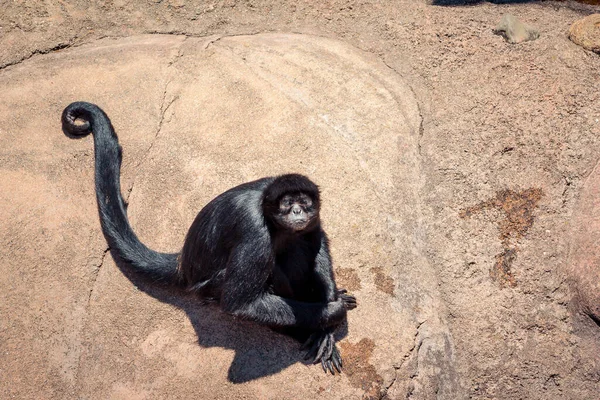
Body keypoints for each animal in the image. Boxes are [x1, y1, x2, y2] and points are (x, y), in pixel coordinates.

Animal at [62, 101, 356, 374]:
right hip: (213, 284)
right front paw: (330, 314)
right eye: (287, 205)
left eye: (304, 203)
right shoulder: (254, 229)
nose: (297, 211)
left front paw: (327, 316)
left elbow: (317, 241)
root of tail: (185, 264)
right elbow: (242, 303)